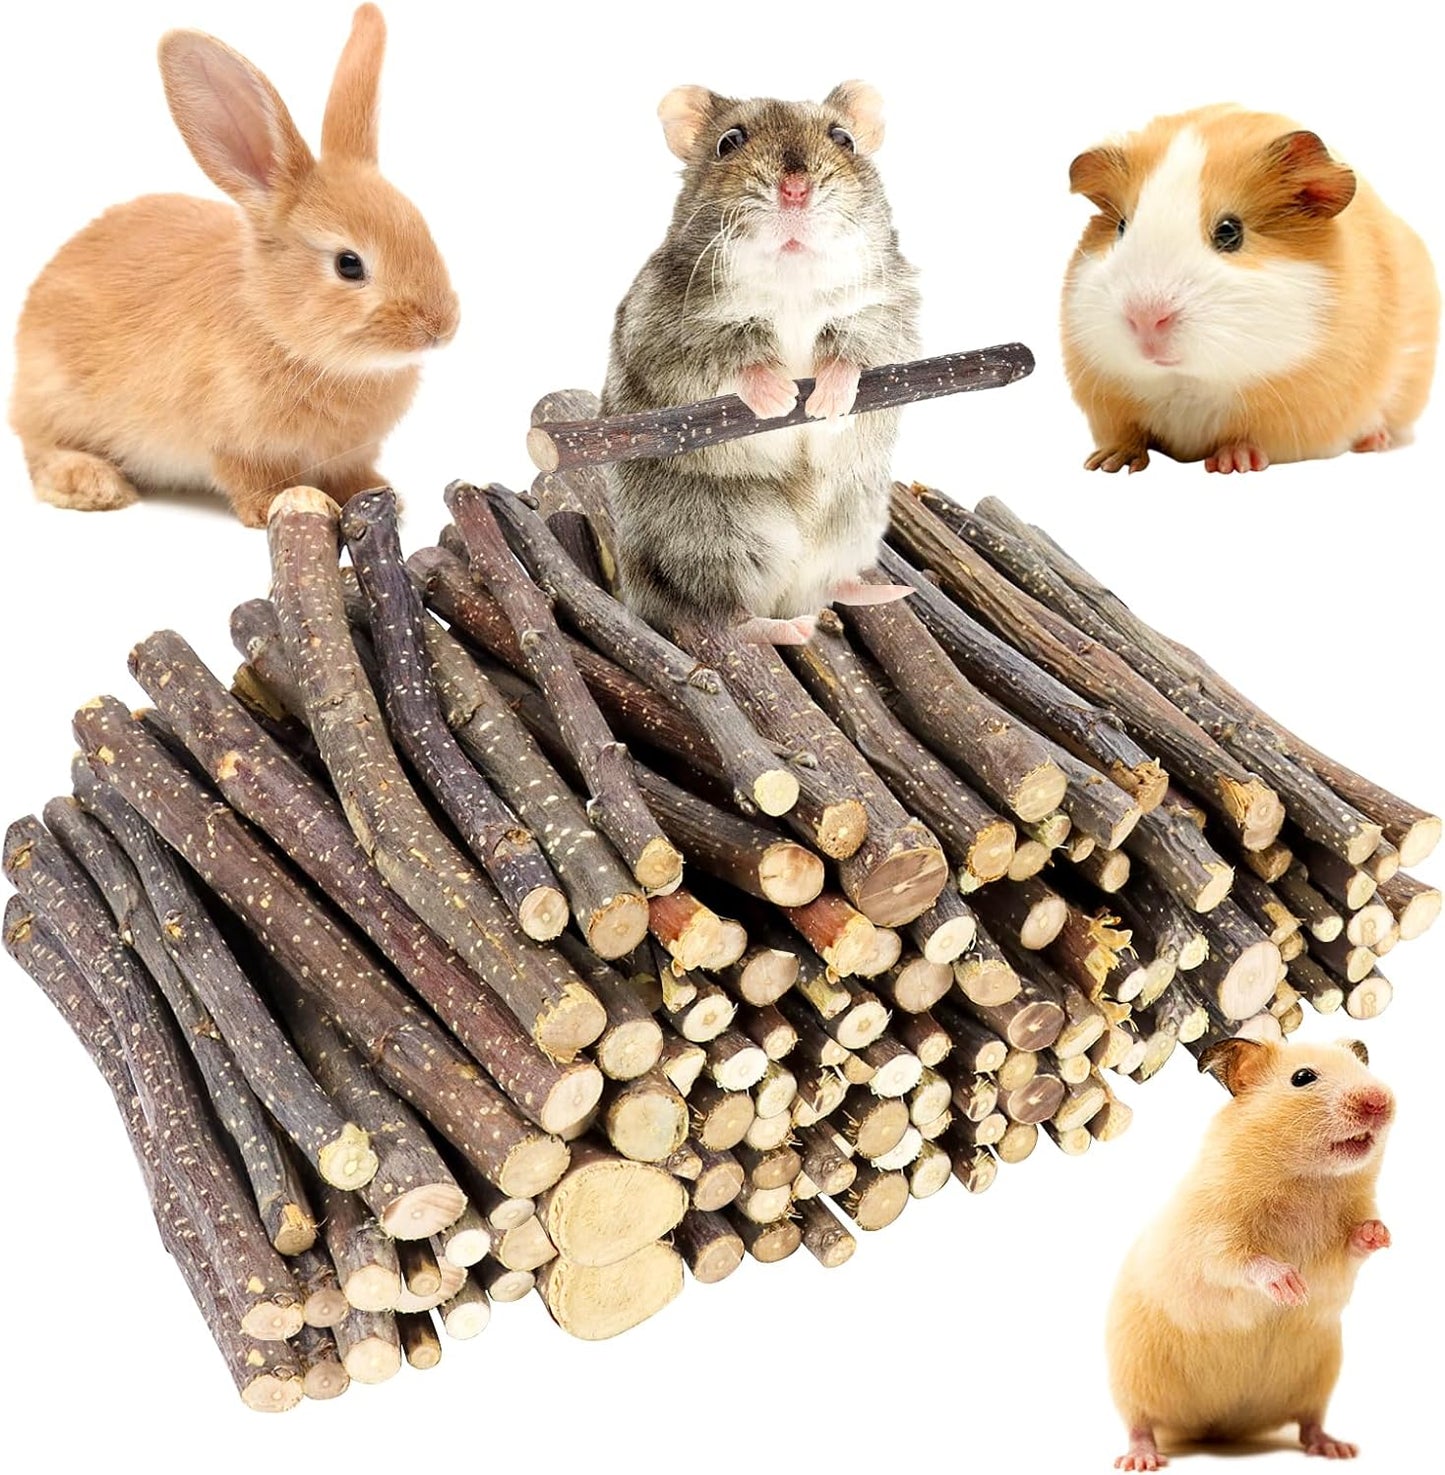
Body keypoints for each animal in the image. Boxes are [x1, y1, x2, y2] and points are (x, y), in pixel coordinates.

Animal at [8, 5, 459, 527]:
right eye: (349, 265)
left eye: (422, 228)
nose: (441, 327)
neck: (279, 328)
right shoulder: (233, 443)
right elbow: (250, 478)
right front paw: (275, 506)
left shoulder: (348, 453)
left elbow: (354, 473)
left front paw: (382, 495)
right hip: (52, 397)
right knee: (39, 449)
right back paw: (92, 484)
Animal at [602, 82, 921, 644]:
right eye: (729, 142)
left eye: (843, 139)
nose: (795, 191)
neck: (792, 274)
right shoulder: (668, 332)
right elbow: (730, 360)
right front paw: (780, 397)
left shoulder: (883, 313)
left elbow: (857, 354)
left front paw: (827, 404)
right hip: (717, 536)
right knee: (725, 615)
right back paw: (787, 629)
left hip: (854, 518)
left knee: (831, 583)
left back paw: (883, 591)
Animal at [1062, 106, 1439, 474]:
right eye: (1122, 227)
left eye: (1230, 232)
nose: (1145, 318)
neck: (1187, 382)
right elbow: (1128, 434)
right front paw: (1106, 464)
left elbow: (1249, 439)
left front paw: (1231, 463)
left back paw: (1375, 440)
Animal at [1107, 1035, 1395, 1470]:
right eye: (1303, 1077)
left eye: (1363, 1069)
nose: (1379, 1100)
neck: (1310, 1180)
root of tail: (1217, 1427)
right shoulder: (1212, 1236)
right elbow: (1241, 1261)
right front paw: (1290, 1286)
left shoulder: (1338, 1257)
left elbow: (1353, 1246)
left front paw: (1382, 1234)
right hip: (1133, 1374)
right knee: (1141, 1424)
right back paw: (1141, 1460)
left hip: (1318, 1375)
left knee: (1309, 1422)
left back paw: (1336, 1448)